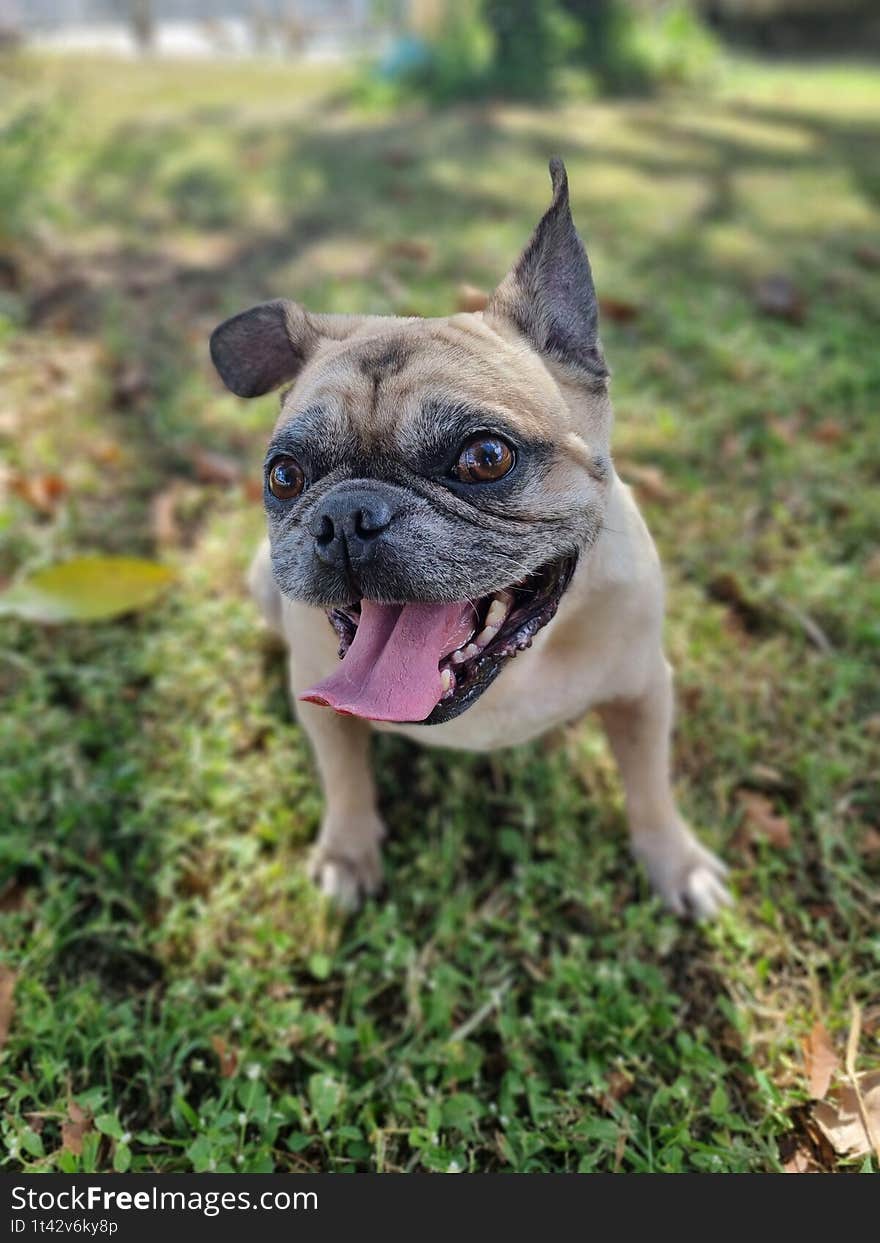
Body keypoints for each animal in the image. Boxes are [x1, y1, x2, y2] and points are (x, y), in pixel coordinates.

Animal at [207, 160, 730, 919]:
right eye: (284, 475)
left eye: (485, 458)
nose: (347, 516)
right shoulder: (328, 716)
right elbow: (345, 778)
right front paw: (347, 852)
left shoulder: (642, 693)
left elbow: (650, 789)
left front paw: (676, 863)